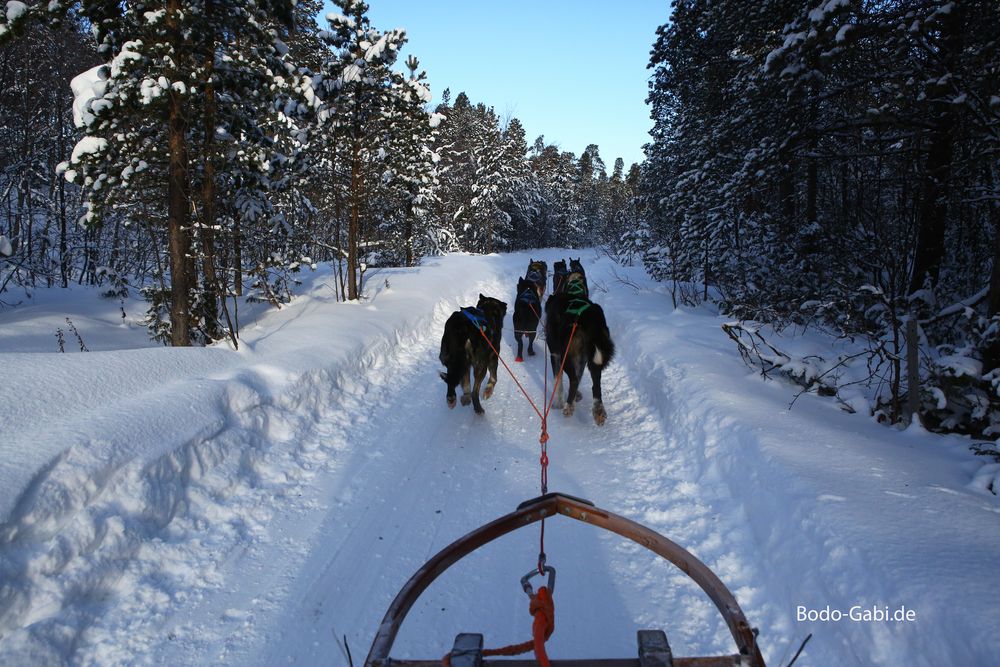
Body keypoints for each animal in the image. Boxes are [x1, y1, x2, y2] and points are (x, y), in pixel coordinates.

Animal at [544, 280, 612, 426]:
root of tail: (589, 316)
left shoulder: (556, 354)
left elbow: (558, 380)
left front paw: (558, 402)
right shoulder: (581, 359)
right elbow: (579, 375)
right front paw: (576, 396)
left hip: (566, 354)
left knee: (574, 380)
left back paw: (568, 406)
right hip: (593, 357)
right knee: (595, 385)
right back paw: (598, 411)